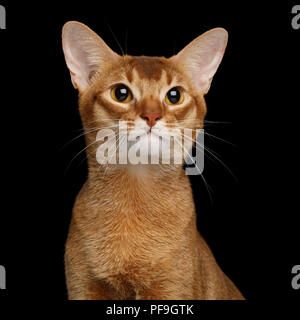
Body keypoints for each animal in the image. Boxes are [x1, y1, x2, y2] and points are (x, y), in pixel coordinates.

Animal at [61, 21, 244, 298]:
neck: (135, 196)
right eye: (121, 93)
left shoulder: (171, 288)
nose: (151, 116)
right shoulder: (82, 285)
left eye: (174, 95)